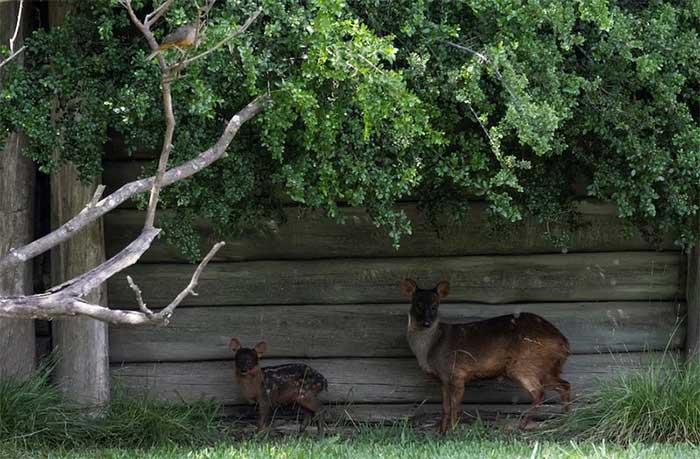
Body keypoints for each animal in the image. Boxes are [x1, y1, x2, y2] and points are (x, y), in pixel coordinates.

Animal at [402, 278, 572, 434]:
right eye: (418, 304)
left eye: (434, 306)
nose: (427, 322)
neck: (431, 348)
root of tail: (564, 343)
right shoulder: (442, 378)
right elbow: (445, 407)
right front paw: (441, 432)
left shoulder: (457, 372)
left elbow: (455, 407)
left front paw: (453, 432)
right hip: (546, 367)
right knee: (564, 385)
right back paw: (565, 420)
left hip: (524, 364)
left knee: (539, 393)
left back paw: (522, 426)